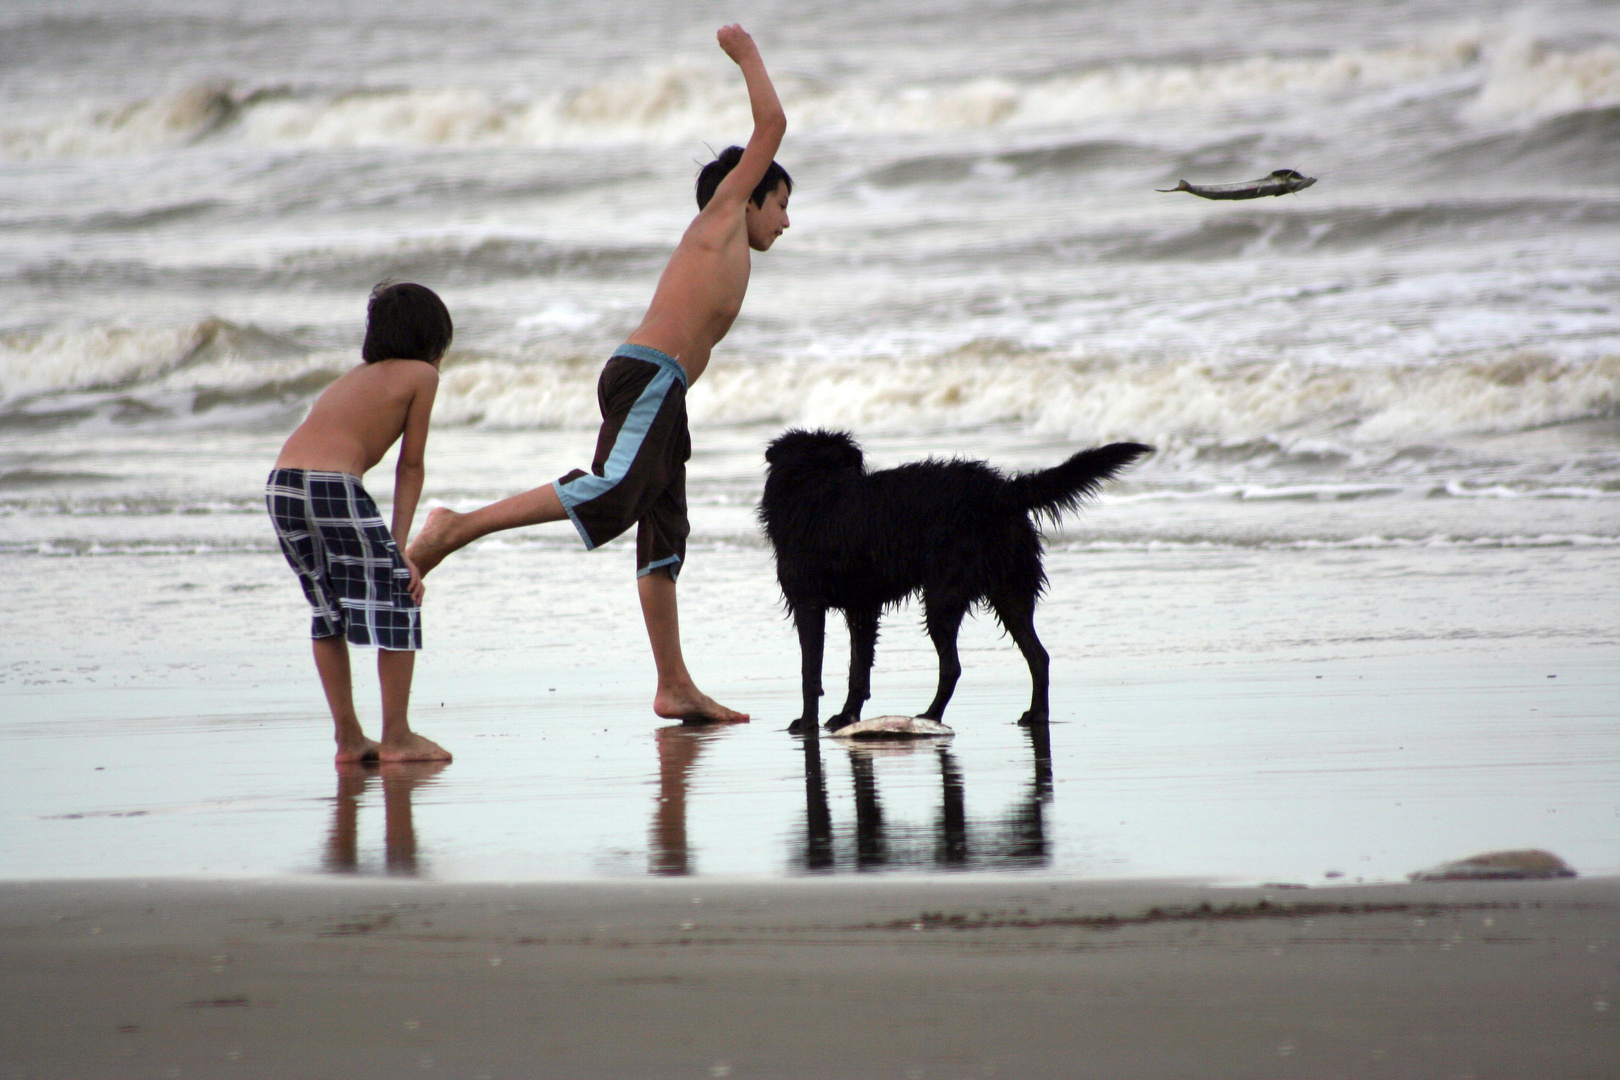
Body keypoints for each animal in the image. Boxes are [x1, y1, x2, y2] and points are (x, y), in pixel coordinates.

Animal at [758, 430, 1153, 735]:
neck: (817, 491)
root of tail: (1002, 492)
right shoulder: (863, 608)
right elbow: (859, 668)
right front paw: (846, 717)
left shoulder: (809, 603)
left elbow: (811, 670)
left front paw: (807, 722)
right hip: (1010, 590)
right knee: (1038, 656)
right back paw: (1036, 714)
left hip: (944, 594)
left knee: (952, 666)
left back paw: (930, 715)